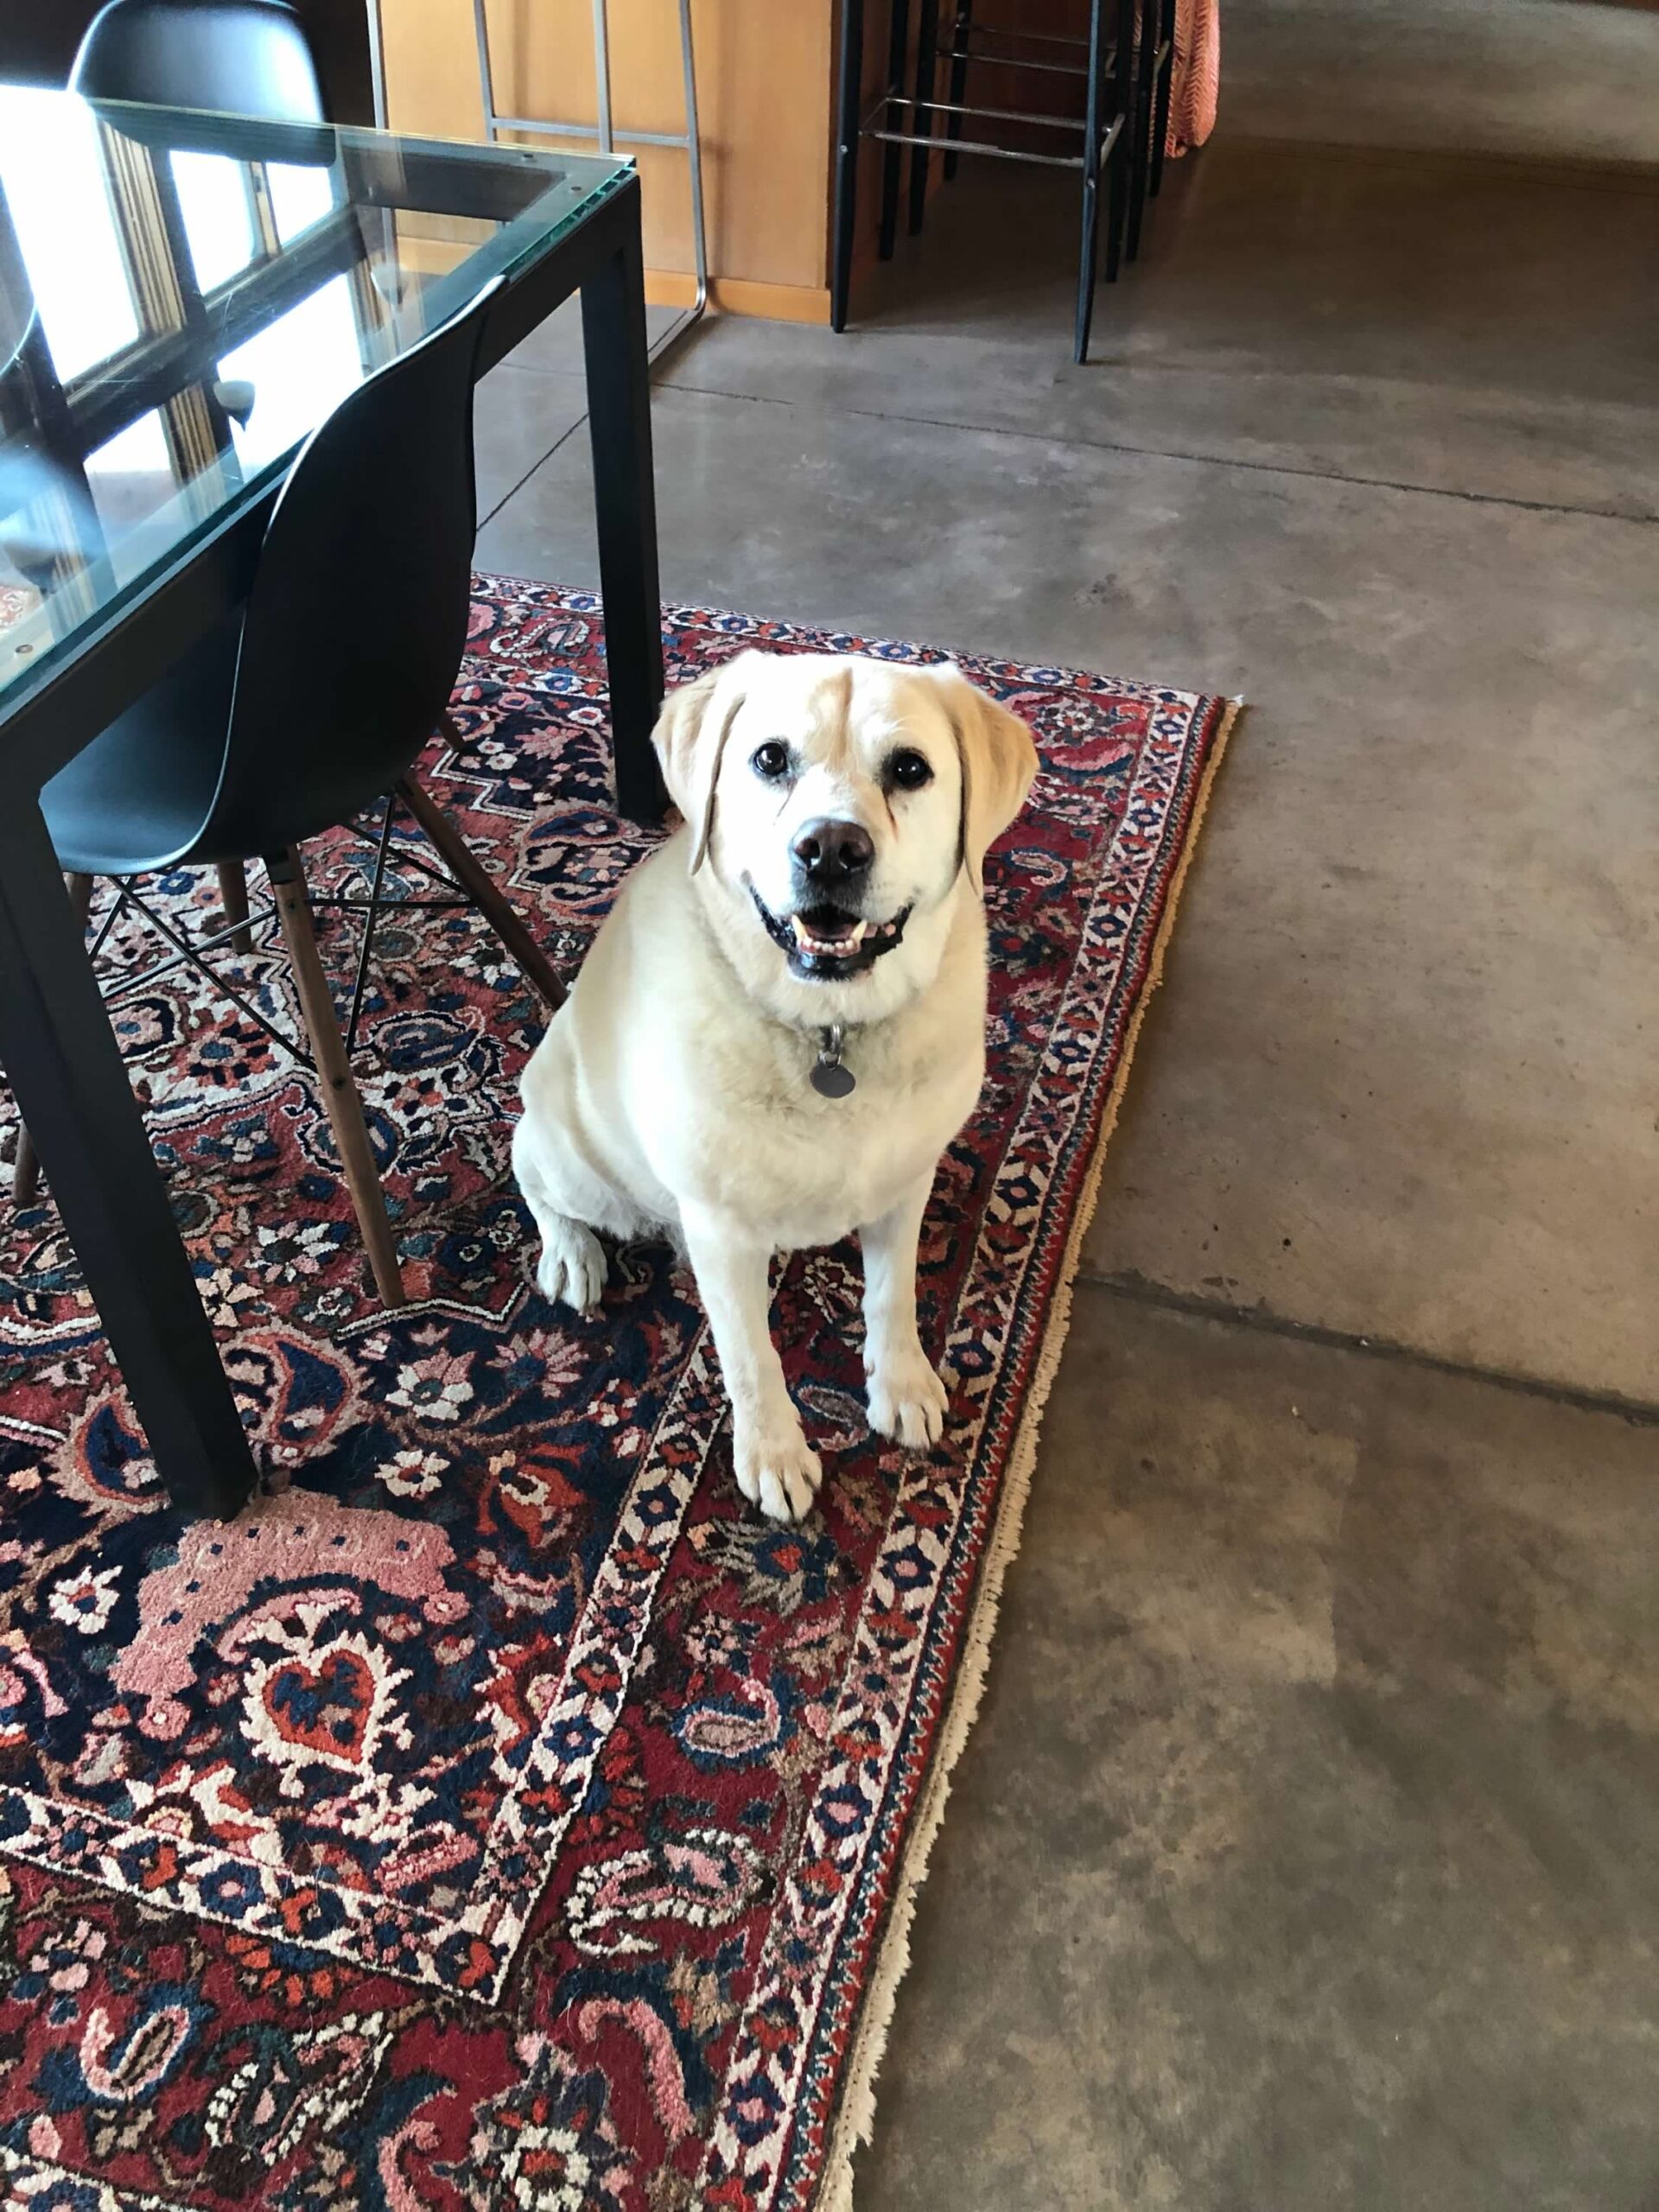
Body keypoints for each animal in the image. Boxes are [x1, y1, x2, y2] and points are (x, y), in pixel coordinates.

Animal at [512, 645, 1035, 1522]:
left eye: (910, 768)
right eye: (768, 759)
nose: (830, 849)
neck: (829, 1033)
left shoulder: (907, 1181)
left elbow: (893, 1296)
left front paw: (901, 1385)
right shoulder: (722, 1230)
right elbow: (751, 1356)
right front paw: (775, 1454)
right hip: (573, 1150)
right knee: (535, 1178)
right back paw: (571, 1256)